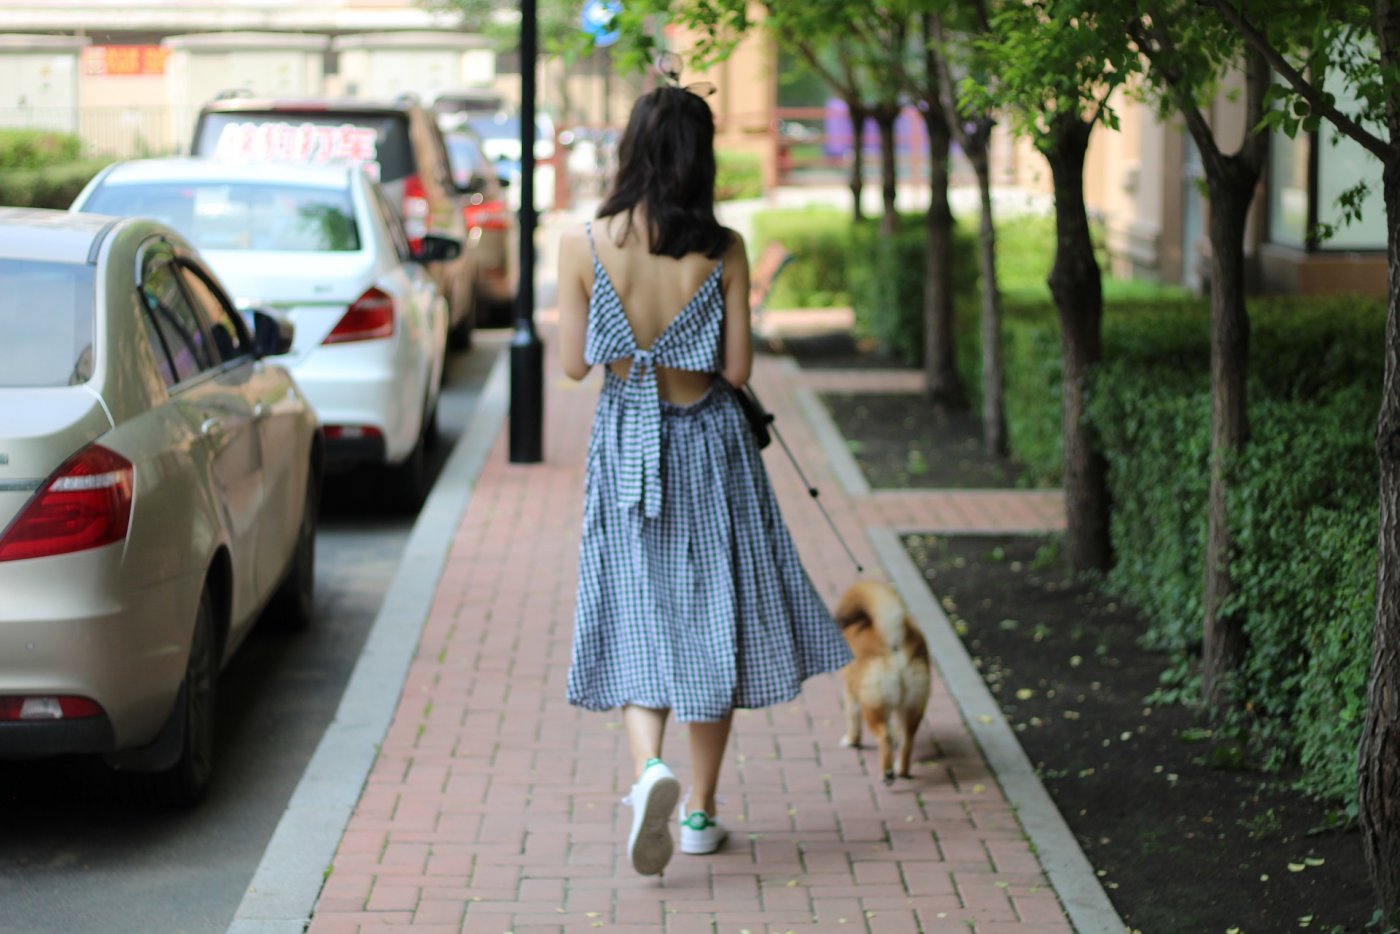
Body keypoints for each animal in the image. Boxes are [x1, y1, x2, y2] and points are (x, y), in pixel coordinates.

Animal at [834, 579, 935, 784]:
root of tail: (895, 642)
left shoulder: (851, 692)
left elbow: (853, 721)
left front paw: (851, 741)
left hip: (873, 706)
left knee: (884, 736)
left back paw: (887, 773)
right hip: (912, 707)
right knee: (907, 740)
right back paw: (901, 770)